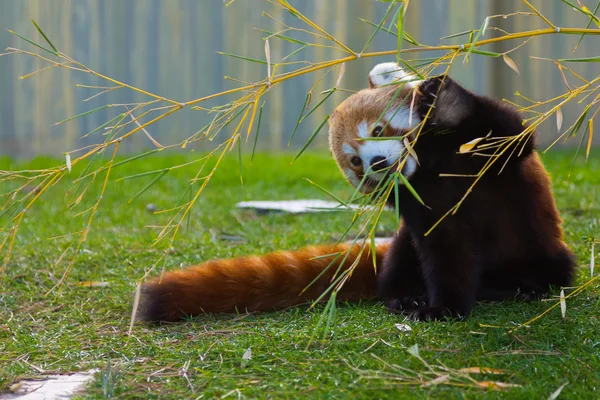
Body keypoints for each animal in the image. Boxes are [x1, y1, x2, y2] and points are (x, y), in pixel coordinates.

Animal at [141, 63, 576, 324]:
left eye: (378, 131)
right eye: (354, 162)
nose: (378, 163)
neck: (429, 166)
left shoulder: (488, 153)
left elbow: (509, 134)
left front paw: (444, 102)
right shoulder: (426, 209)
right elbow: (445, 250)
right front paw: (441, 306)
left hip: (548, 250)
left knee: (550, 271)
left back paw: (520, 285)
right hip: (403, 246)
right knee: (401, 260)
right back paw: (407, 296)